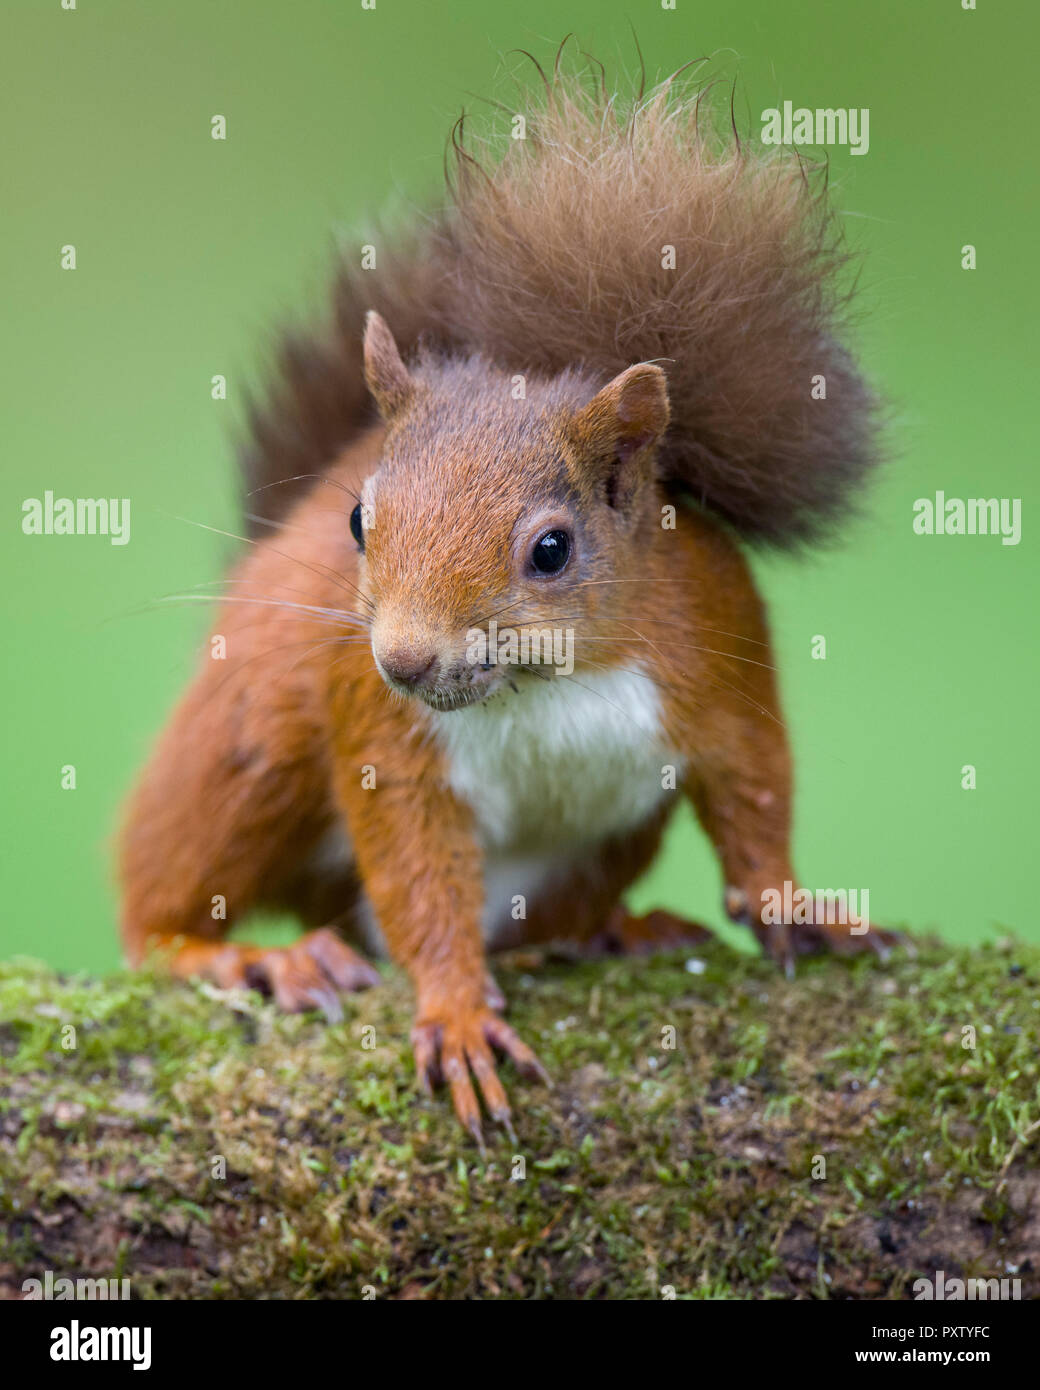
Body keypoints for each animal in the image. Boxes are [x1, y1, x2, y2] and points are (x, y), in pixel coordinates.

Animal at [117, 62, 895, 1139]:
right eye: (358, 521)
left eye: (551, 550)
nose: (402, 659)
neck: (542, 684)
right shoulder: (384, 737)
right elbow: (416, 873)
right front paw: (453, 1015)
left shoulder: (718, 645)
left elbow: (754, 792)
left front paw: (792, 905)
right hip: (252, 741)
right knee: (159, 909)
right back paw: (249, 955)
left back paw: (616, 932)